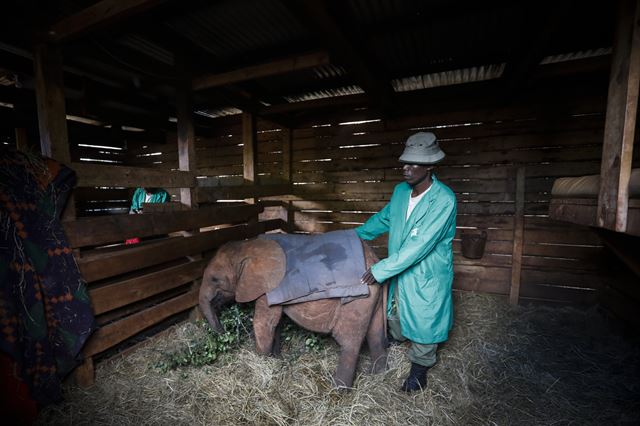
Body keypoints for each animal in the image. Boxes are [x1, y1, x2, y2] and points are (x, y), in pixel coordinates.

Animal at [200, 236, 388, 390]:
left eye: (215, 279)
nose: (224, 335)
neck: (246, 246)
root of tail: (374, 261)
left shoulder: (268, 287)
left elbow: (262, 322)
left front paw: (260, 363)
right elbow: (275, 323)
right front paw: (275, 359)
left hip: (358, 300)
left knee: (350, 342)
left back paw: (337, 390)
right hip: (372, 299)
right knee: (375, 334)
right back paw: (378, 375)